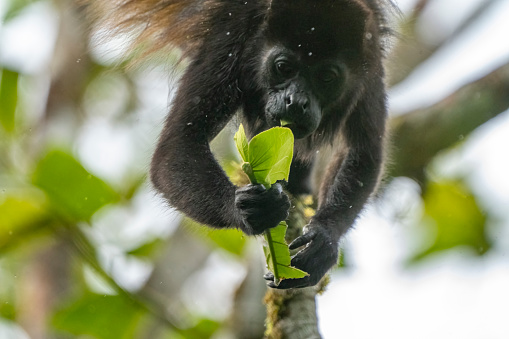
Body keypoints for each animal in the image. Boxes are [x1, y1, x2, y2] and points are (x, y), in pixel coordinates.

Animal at [101, 0, 390, 290]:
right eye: (283, 67)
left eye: (327, 77)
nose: (296, 101)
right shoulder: (230, 36)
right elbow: (177, 146)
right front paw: (247, 210)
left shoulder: (370, 51)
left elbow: (363, 151)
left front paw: (324, 238)